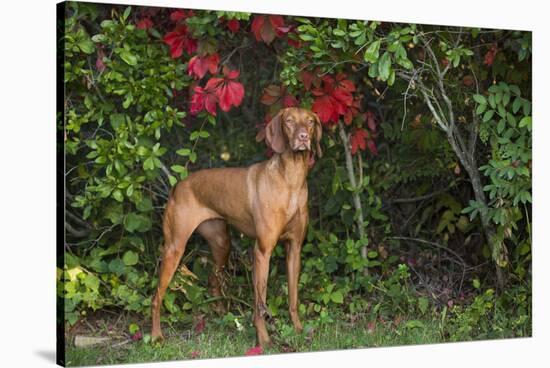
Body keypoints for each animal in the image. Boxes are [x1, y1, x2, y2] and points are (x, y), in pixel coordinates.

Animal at [151, 107, 324, 348]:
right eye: (289, 121)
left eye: (310, 122)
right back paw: (156, 336)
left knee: (213, 280)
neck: (291, 180)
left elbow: (293, 297)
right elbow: (260, 304)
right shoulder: (262, 251)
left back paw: (222, 316)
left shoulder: (295, 249)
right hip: (174, 247)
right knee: (156, 296)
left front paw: (298, 330)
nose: (303, 137)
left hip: (222, 243)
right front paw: (264, 340)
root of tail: (178, 185)